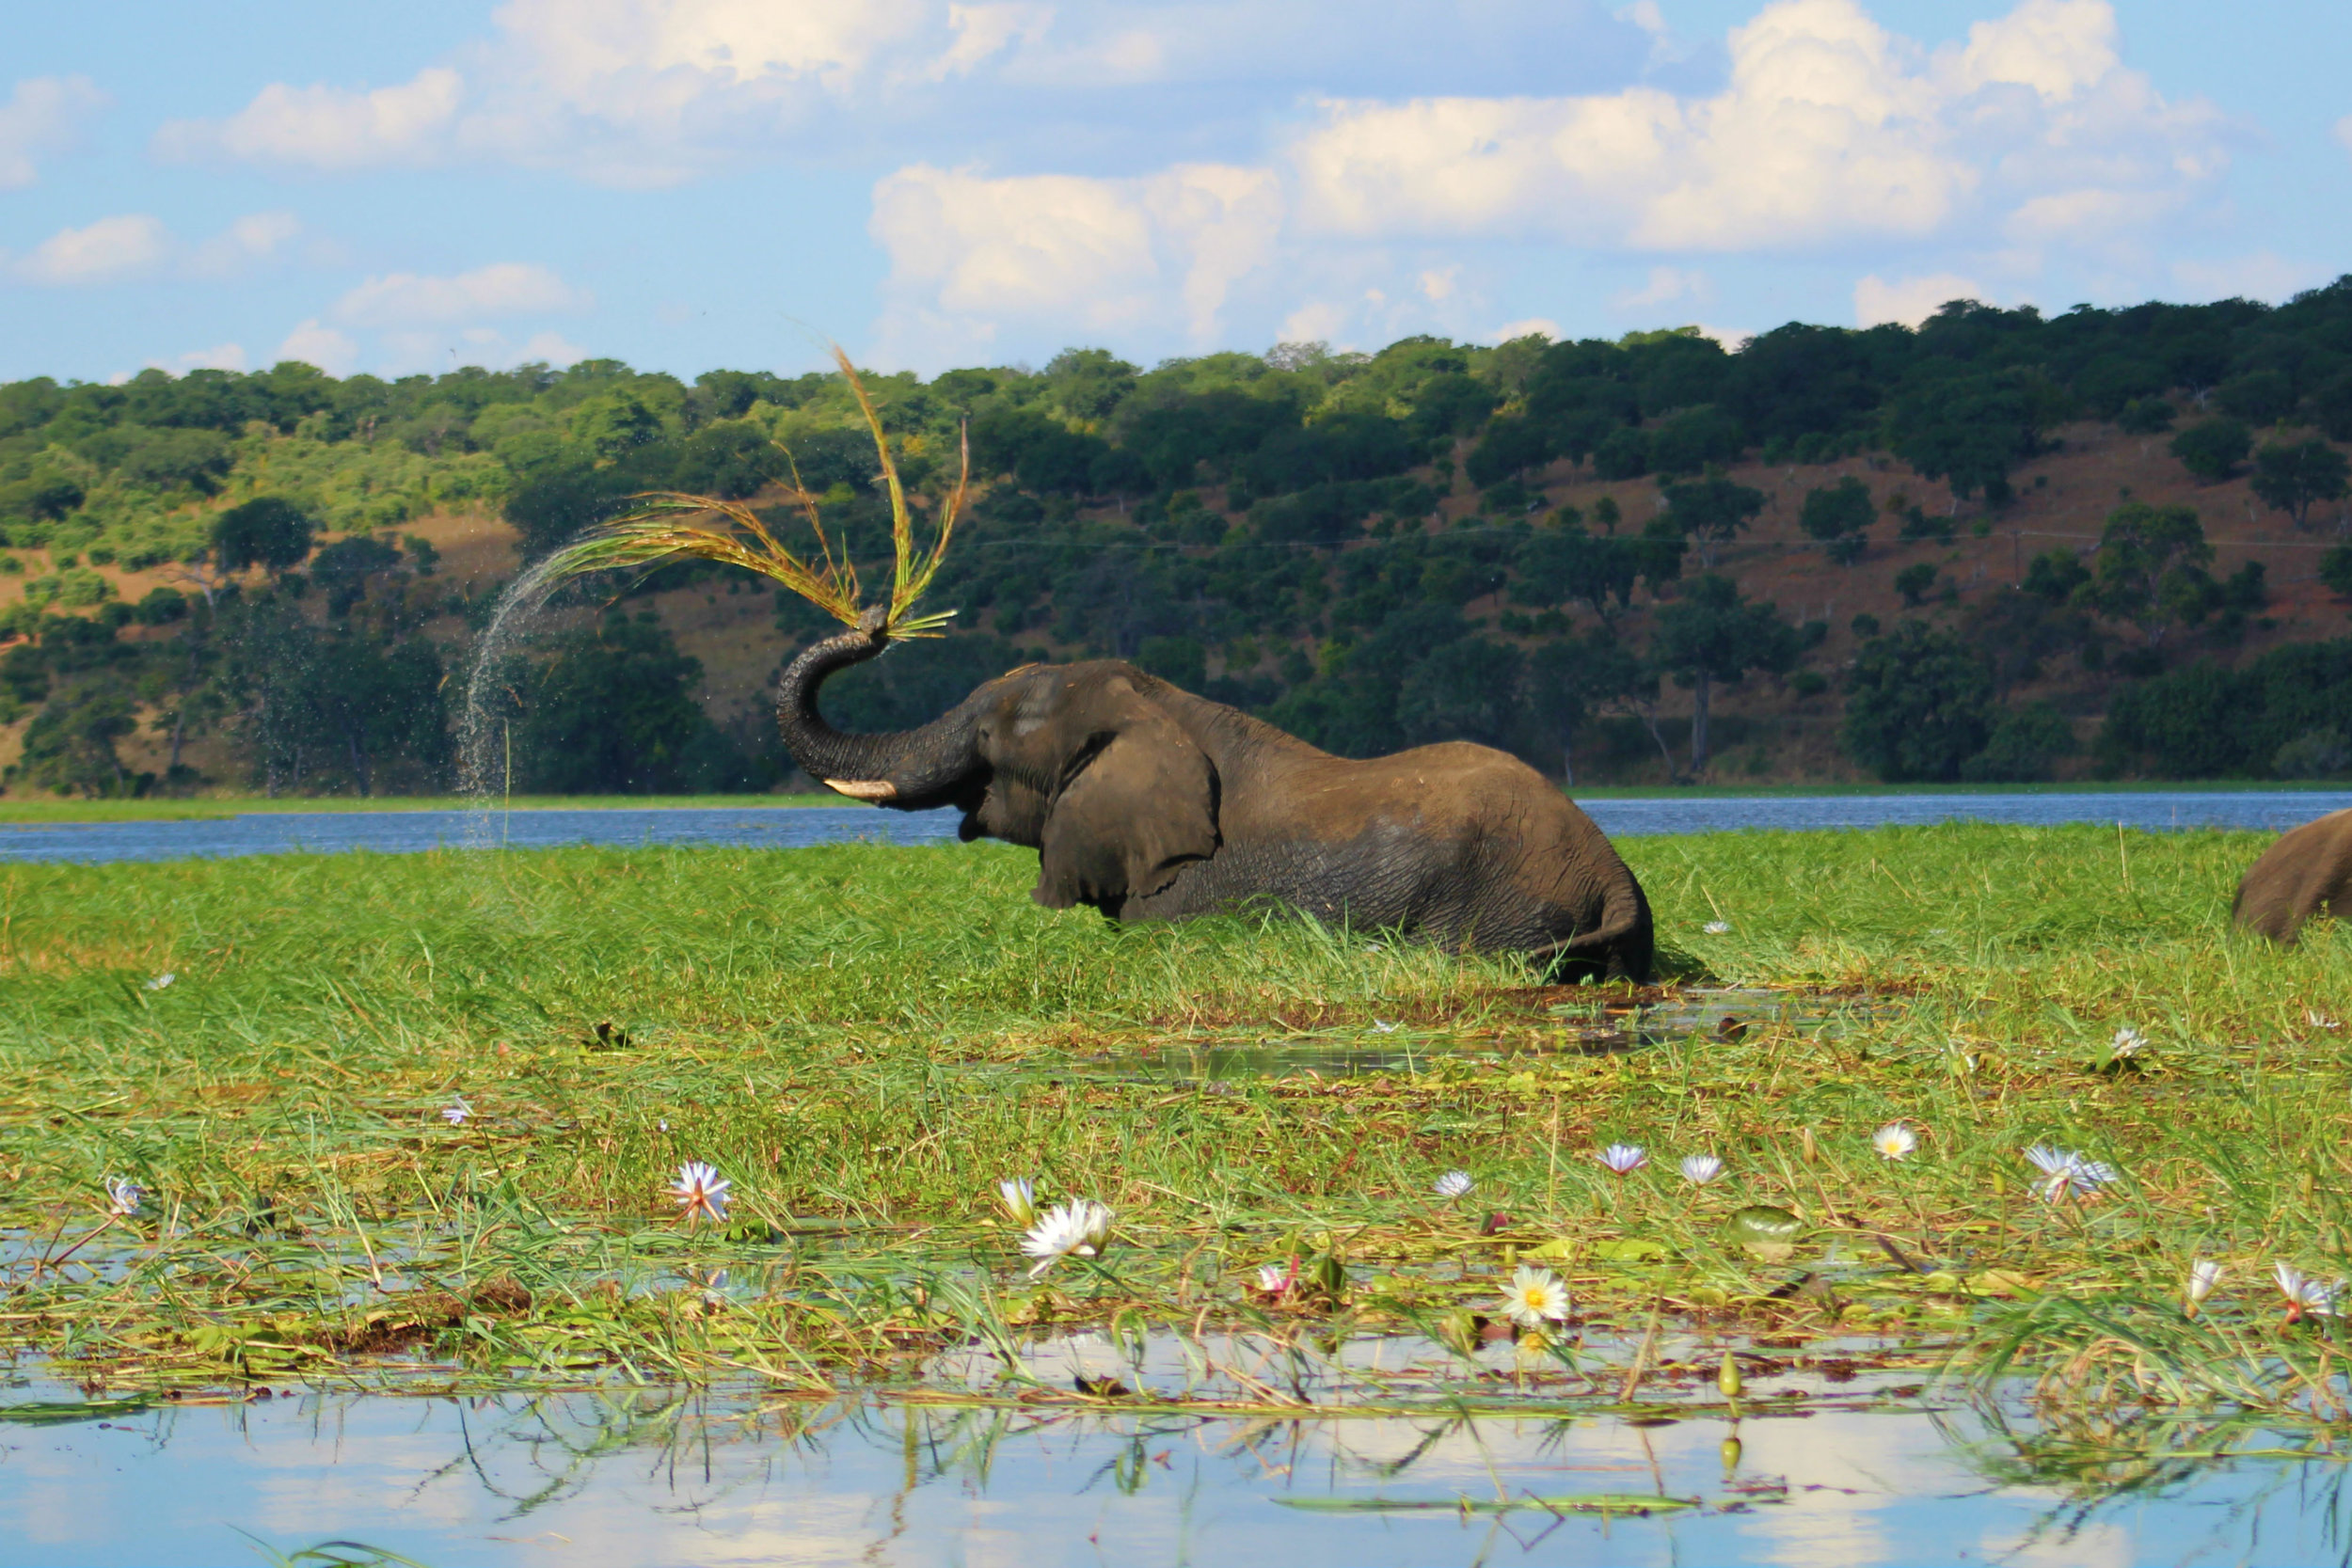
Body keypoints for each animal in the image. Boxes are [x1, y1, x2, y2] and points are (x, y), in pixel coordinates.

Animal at [781, 610, 1665, 982]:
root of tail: (1611, 870)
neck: (1159, 708)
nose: (874, 625)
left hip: (1493, 906)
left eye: (993, 737)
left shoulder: (1184, 888)